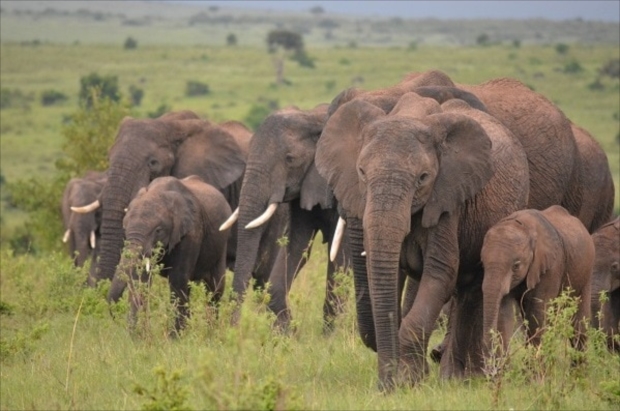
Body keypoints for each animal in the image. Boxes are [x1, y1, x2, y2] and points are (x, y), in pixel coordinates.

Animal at [108, 175, 231, 336]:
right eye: (125, 228)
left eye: (158, 231)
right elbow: (141, 280)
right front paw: (137, 337)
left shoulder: (191, 233)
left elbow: (177, 280)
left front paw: (175, 338)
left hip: (221, 245)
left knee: (214, 289)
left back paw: (211, 334)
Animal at [222, 104, 348, 334]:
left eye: (290, 159)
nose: (233, 330)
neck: (312, 117)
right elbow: (296, 244)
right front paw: (287, 335)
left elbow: (342, 253)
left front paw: (331, 337)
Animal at [318, 94, 532, 392]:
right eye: (361, 172)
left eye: (423, 178)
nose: (385, 386)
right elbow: (386, 276)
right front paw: (400, 382)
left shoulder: (447, 199)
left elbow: (440, 273)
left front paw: (408, 382)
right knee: (467, 291)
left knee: (476, 288)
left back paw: (463, 379)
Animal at [480, 206, 596, 358]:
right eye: (483, 264)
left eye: (516, 266)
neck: (522, 226)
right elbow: (503, 312)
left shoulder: (552, 266)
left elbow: (537, 314)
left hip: (586, 271)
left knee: (578, 326)